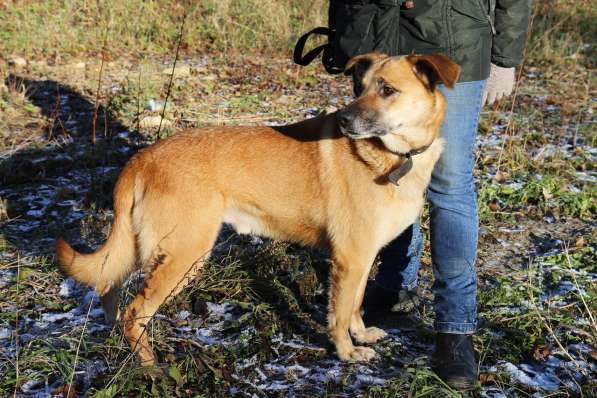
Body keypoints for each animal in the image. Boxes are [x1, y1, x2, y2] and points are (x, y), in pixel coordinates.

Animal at [57, 53, 460, 366]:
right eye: (360, 89)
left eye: (387, 90)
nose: (344, 121)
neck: (393, 156)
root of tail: (143, 158)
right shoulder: (350, 257)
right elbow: (340, 311)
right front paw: (346, 352)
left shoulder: (362, 257)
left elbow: (356, 304)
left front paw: (360, 335)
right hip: (184, 255)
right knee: (134, 312)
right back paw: (147, 365)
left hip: (145, 248)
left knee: (108, 285)